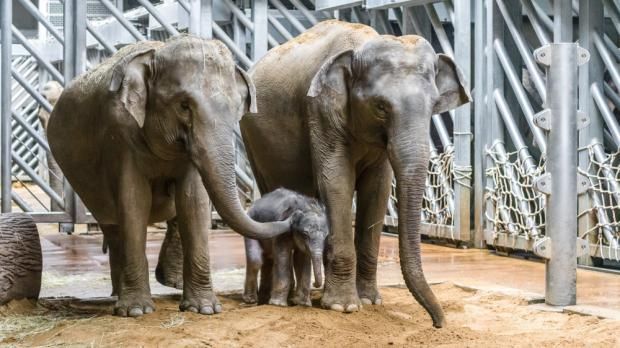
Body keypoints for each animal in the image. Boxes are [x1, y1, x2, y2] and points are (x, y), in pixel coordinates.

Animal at [48, 36, 290, 318]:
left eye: (235, 109)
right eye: (184, 106)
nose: (288, 216)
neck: (157, 54)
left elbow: (193, 200)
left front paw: (204, 309)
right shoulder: (119, 135)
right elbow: (134, 200)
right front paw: (136, 311)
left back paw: (170, 282)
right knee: (113, 225)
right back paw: (119, 296)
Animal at [239, 20, 470, 328]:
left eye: (434, 105)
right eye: (381, 107)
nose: (438, 324)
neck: (361, 44)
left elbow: (378, 189)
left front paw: (370, 302)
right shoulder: (321, 109)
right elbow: (337, 182)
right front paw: (343, 307)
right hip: (252, 135)